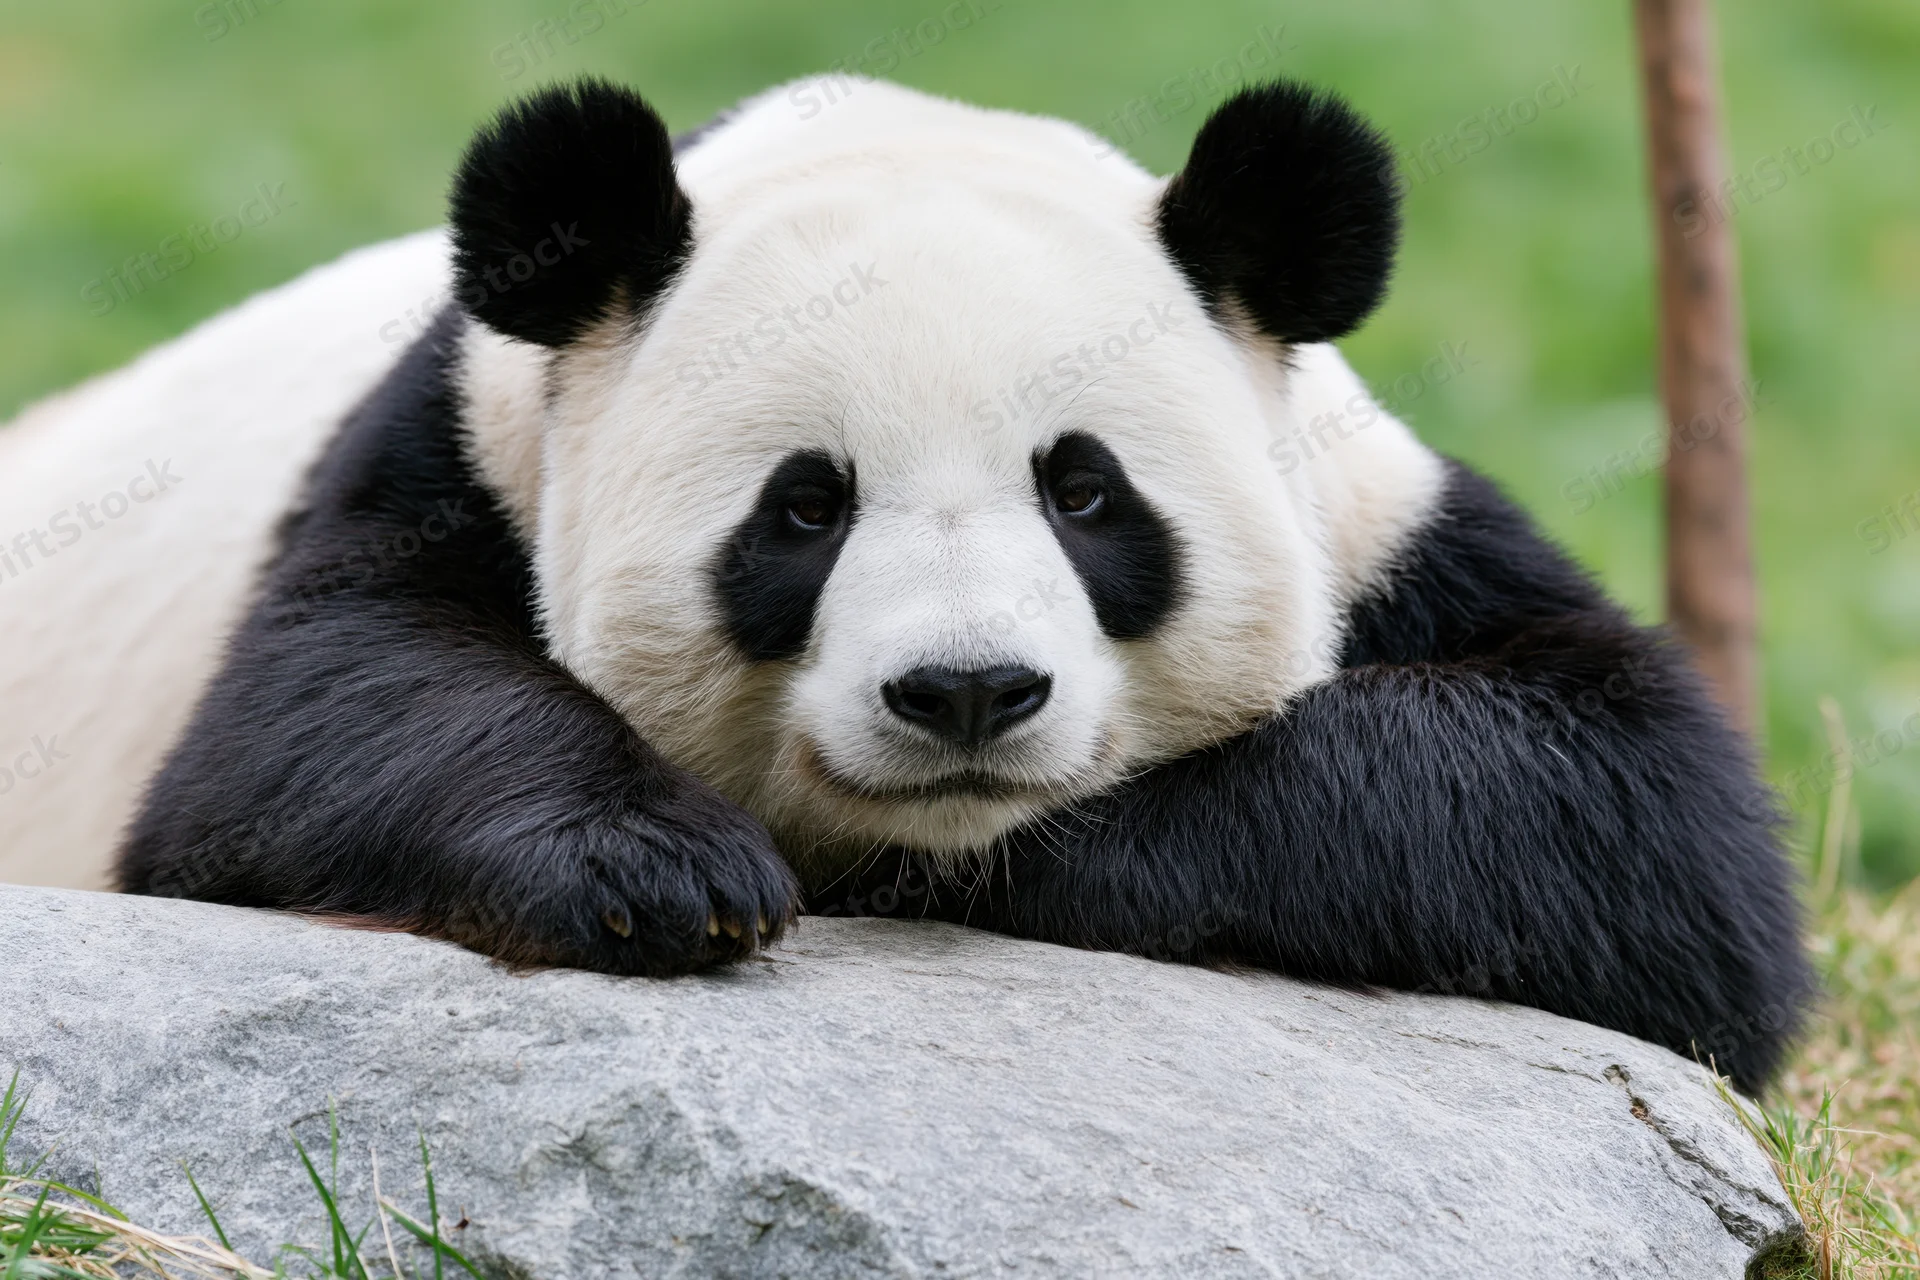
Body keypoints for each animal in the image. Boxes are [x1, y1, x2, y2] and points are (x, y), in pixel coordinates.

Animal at [0, 75, 1808, 1091]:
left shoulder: (1384, 524)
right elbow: (304, 734)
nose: (966, 694)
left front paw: (1038, 867)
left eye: (1085, 492)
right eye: (804, 511)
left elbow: (1649, 832)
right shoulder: (464, 450)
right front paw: (658, 872)